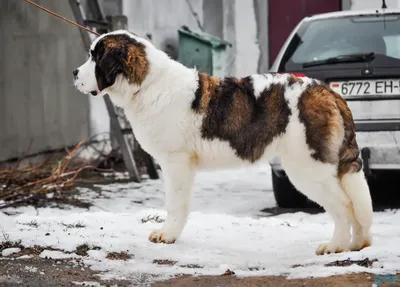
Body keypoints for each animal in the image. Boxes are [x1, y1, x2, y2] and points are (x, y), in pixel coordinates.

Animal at [73, 30, 374, 255]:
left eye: (94, 57)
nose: (74, 73)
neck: (146, 84)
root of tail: (325, 90)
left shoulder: (176, 162)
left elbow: (175, 203)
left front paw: (168, 235)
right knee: (355, 202)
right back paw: (357, 244)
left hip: (307, 168)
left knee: (344, 205)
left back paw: (335, 246)